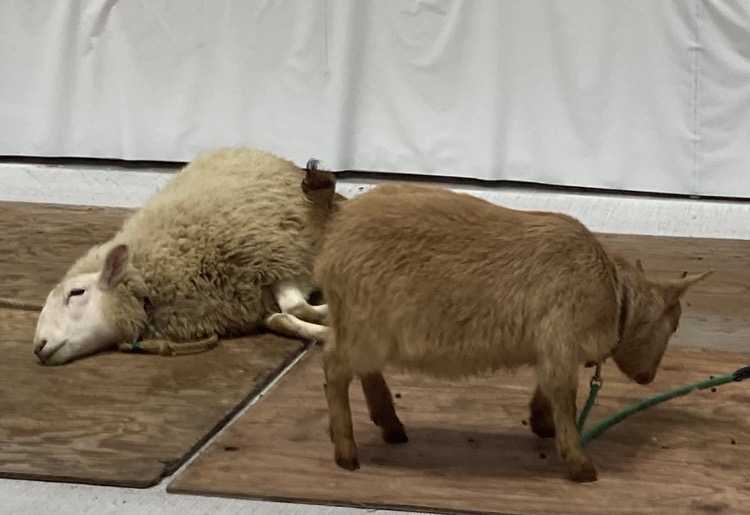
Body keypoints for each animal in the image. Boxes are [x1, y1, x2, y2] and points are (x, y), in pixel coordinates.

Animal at [32, 147, 342, 366]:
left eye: (76, 292)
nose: (38, 346)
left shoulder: (279, 257)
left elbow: (295, 307)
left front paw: (326, 318)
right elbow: (282, 316)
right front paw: (319, 328)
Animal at [313, 183, 711, 482]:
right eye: (674, 324)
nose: (648, 377)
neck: (613, 294)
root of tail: (334, 238)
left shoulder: (552, 345)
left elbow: (547, 389)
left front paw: (542, 424)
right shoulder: (561, 341)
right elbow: (564, 397)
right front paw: (580, 464)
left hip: (367, 328)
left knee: (364, 370)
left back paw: (390, 425)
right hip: (362, 323)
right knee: (334, 368)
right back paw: (346, 451)